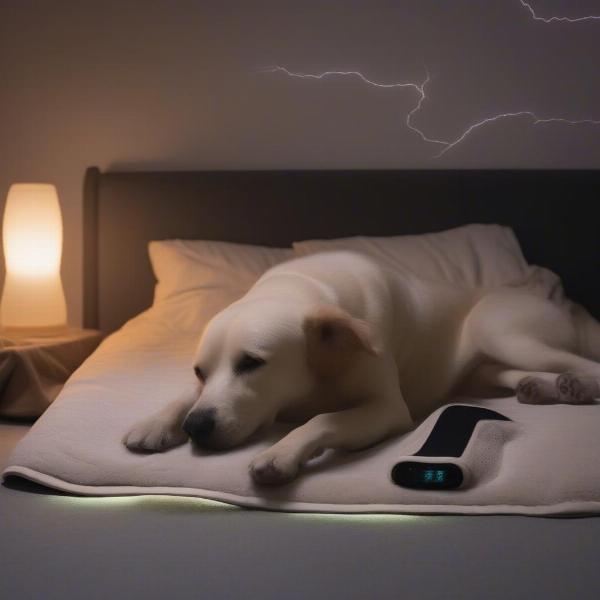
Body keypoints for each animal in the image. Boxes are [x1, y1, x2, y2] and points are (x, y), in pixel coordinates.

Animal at [123, 251, 600, 486]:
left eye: (251, 364)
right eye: (199, 371)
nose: (196, 428)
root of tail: (569, 309)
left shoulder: (386, 408)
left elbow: (323, 419)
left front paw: (281, 453)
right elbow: (183, 398)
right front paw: (156, 422)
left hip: (501, 330)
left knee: (584, 361)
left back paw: (577, 386)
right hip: (490, 366)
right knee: (516, 374)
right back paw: (543, 388)